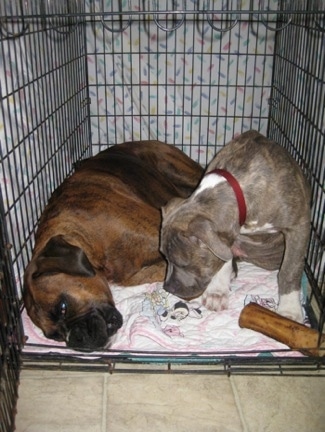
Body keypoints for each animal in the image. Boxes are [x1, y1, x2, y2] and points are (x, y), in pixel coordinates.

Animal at [161, 130, 310, 322]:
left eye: (183, 264)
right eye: (164, 257)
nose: (167, 287)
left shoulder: (298, 225)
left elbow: (290, 269)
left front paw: (289, 310)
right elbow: (224, 259)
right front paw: (217, 291)